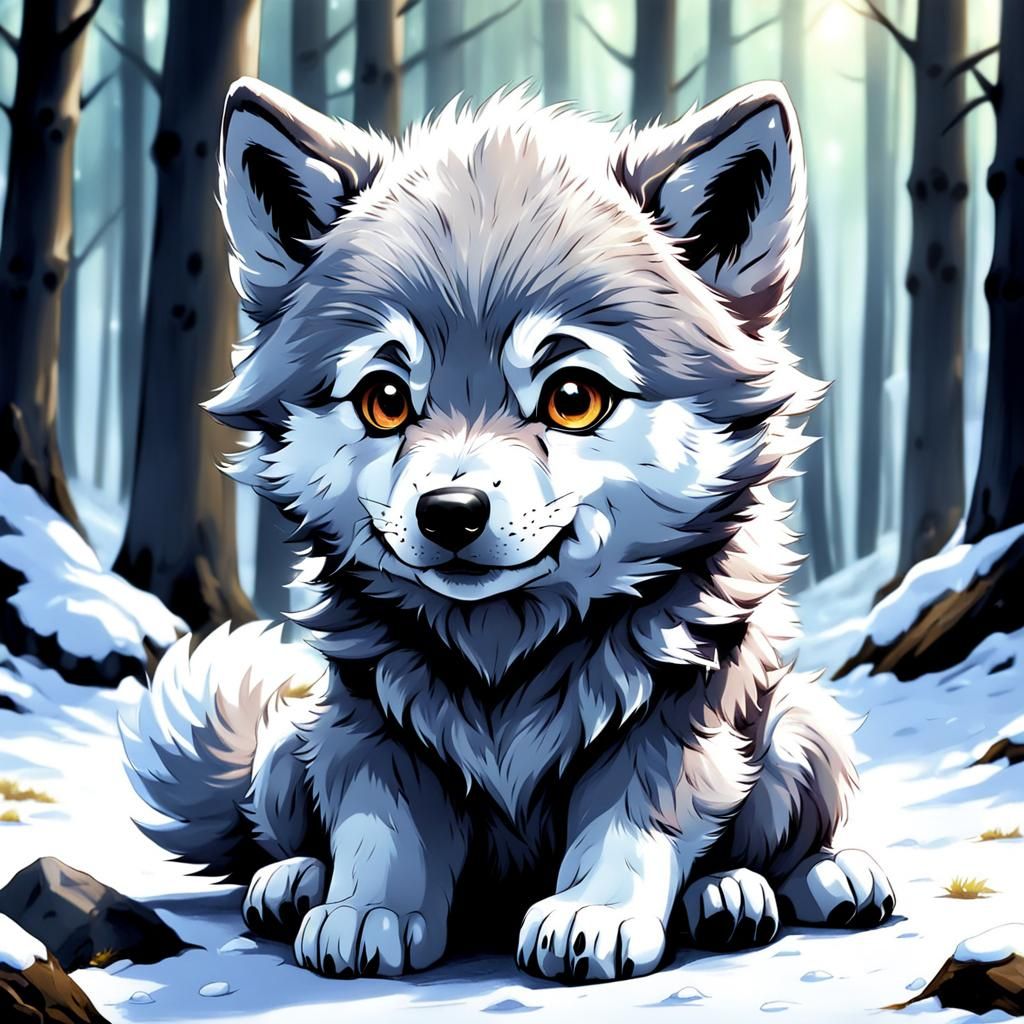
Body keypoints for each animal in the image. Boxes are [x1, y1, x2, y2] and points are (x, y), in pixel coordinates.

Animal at [121, 77, 894, 983]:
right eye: (385, 399)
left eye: (573, 397)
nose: (450, 511)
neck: (503, 659)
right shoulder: (369, 724)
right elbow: (382, 827)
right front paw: (366, 910)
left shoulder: (677, 717)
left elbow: (633, 823)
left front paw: (593, 913)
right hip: (289, 747)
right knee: (275, 830)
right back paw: (294, 880)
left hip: (804, 725)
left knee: (788, 838)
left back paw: (780, 884)